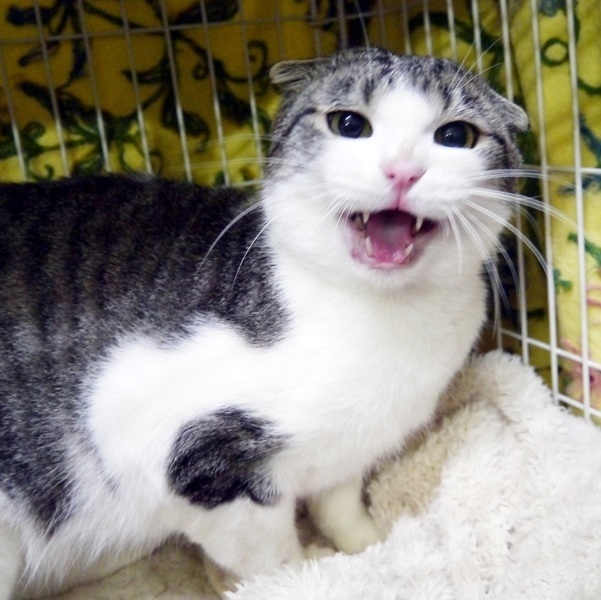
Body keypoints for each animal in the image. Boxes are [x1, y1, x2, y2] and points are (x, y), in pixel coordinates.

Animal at [0, 47, 527, 599]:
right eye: (348, 124)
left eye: (456, 135)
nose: (402, 171)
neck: (385, 318)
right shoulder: (158, 436)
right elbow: (266, 549)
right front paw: (310, 573)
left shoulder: (348, 448)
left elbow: (339, 504)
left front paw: (368, 546)